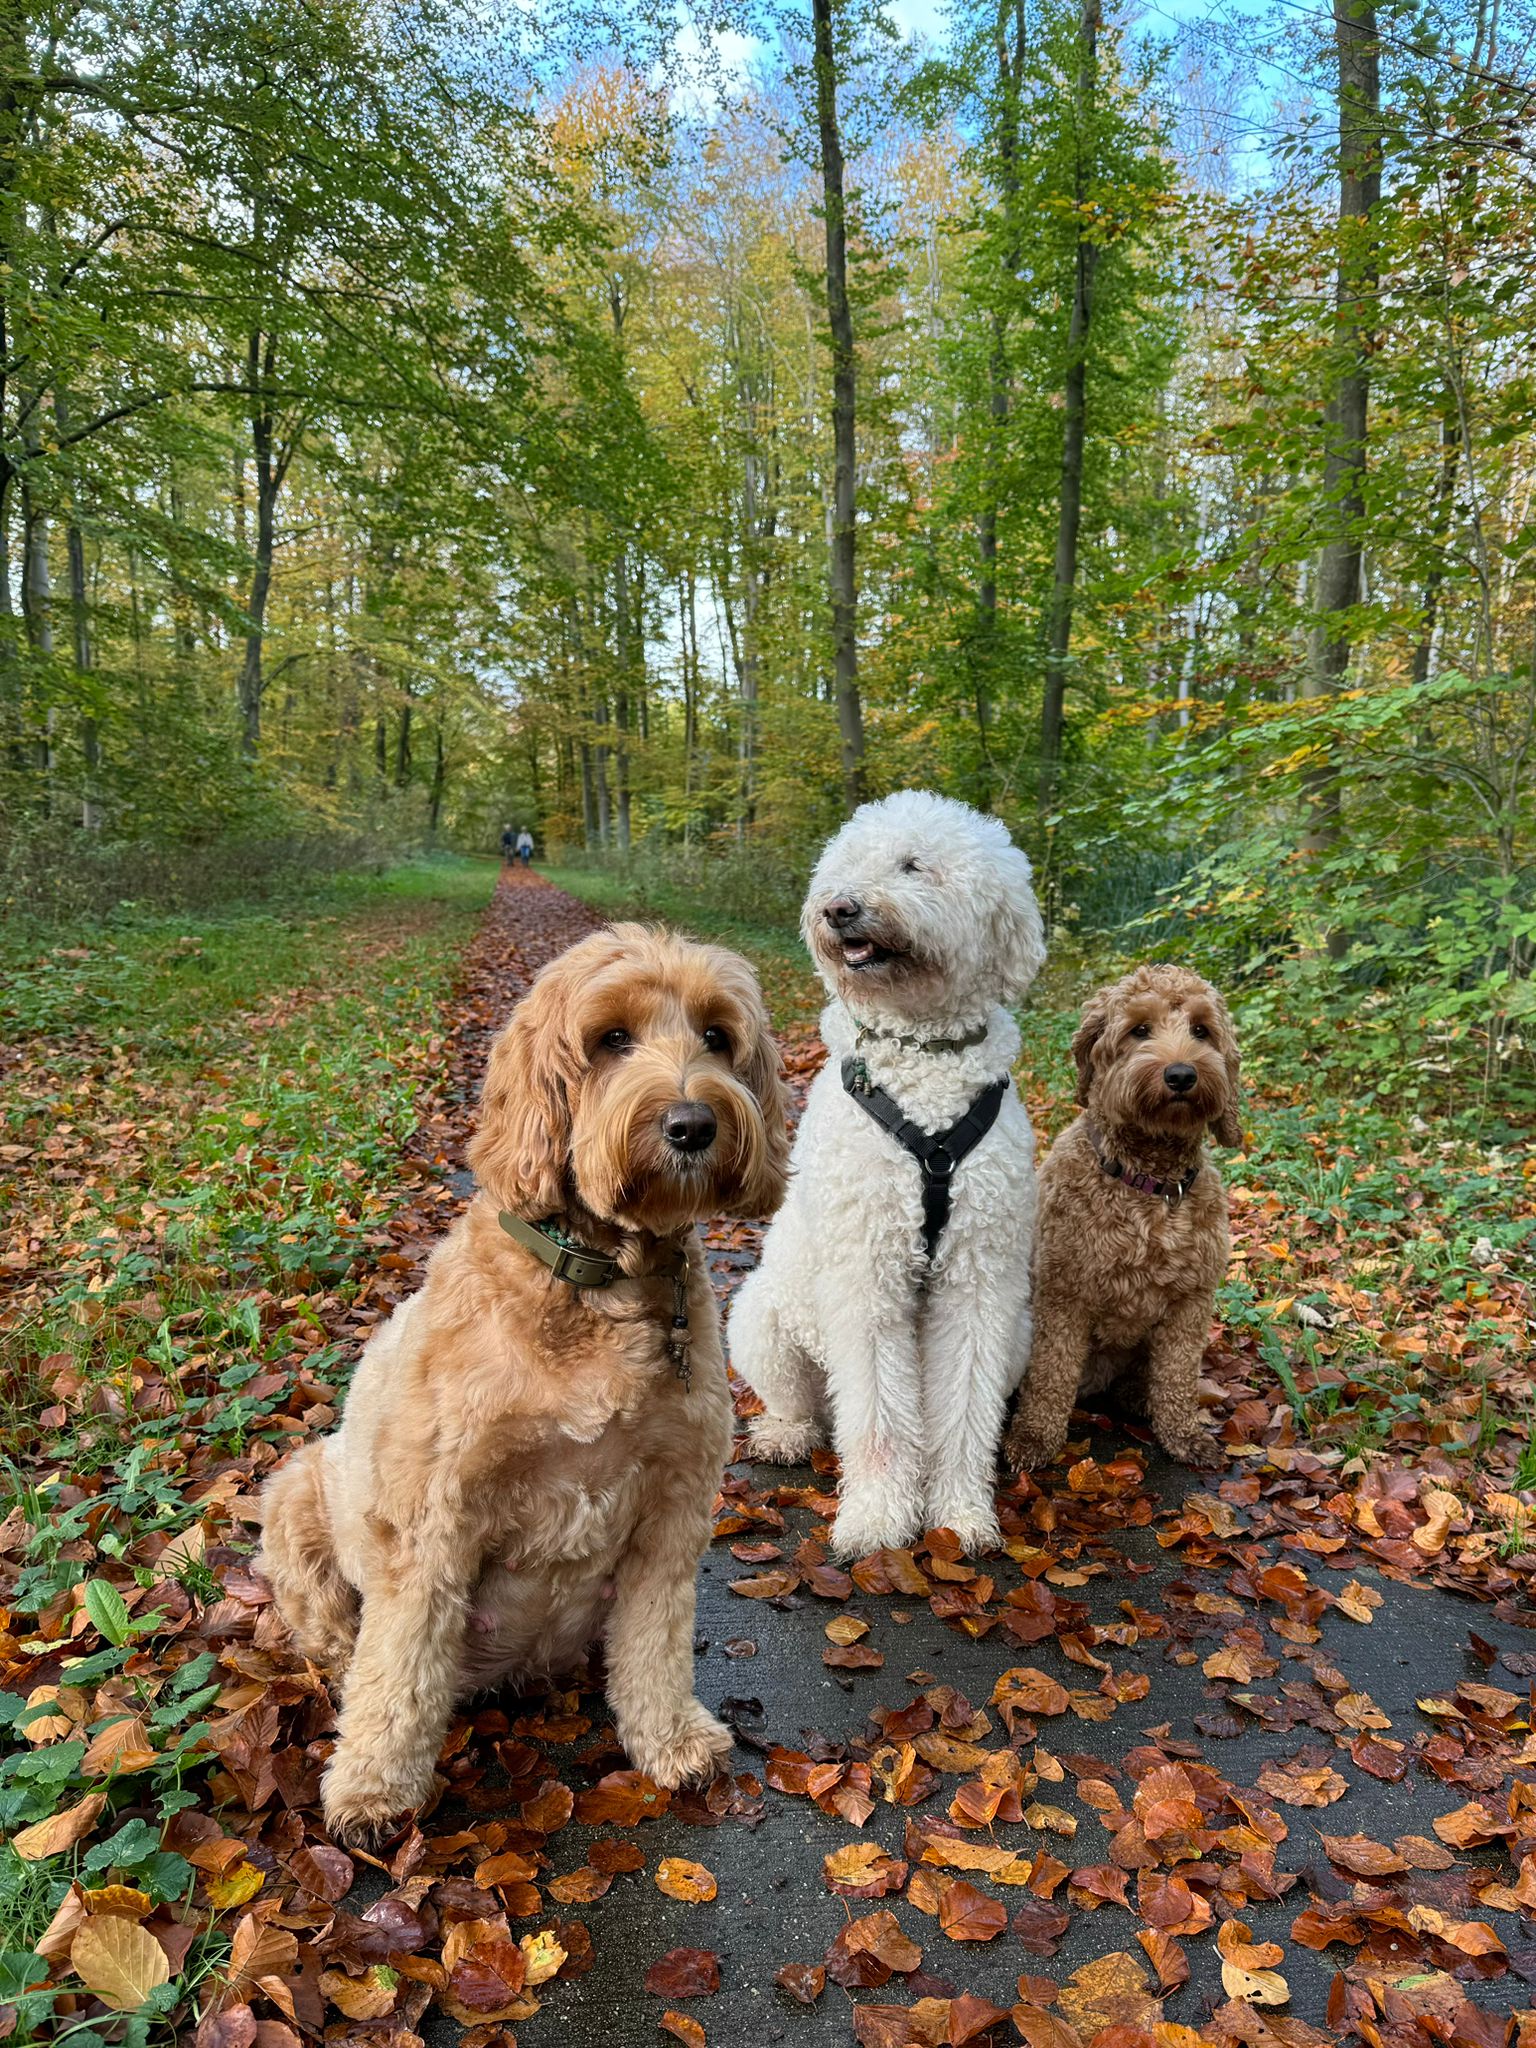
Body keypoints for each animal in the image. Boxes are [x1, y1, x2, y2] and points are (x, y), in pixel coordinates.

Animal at [729, 786, 1048, 1548]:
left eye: (913, 865)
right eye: (845, 863)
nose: (838, 907)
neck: (923, 1057)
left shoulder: (979, 1283)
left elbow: (963, 1412)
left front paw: (959, 1513)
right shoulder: (865, 1274)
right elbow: (877, 1413)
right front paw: (877, 1518)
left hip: (1021, 1335)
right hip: (759, 1321)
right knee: (808, 1405)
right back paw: (786, 1434)